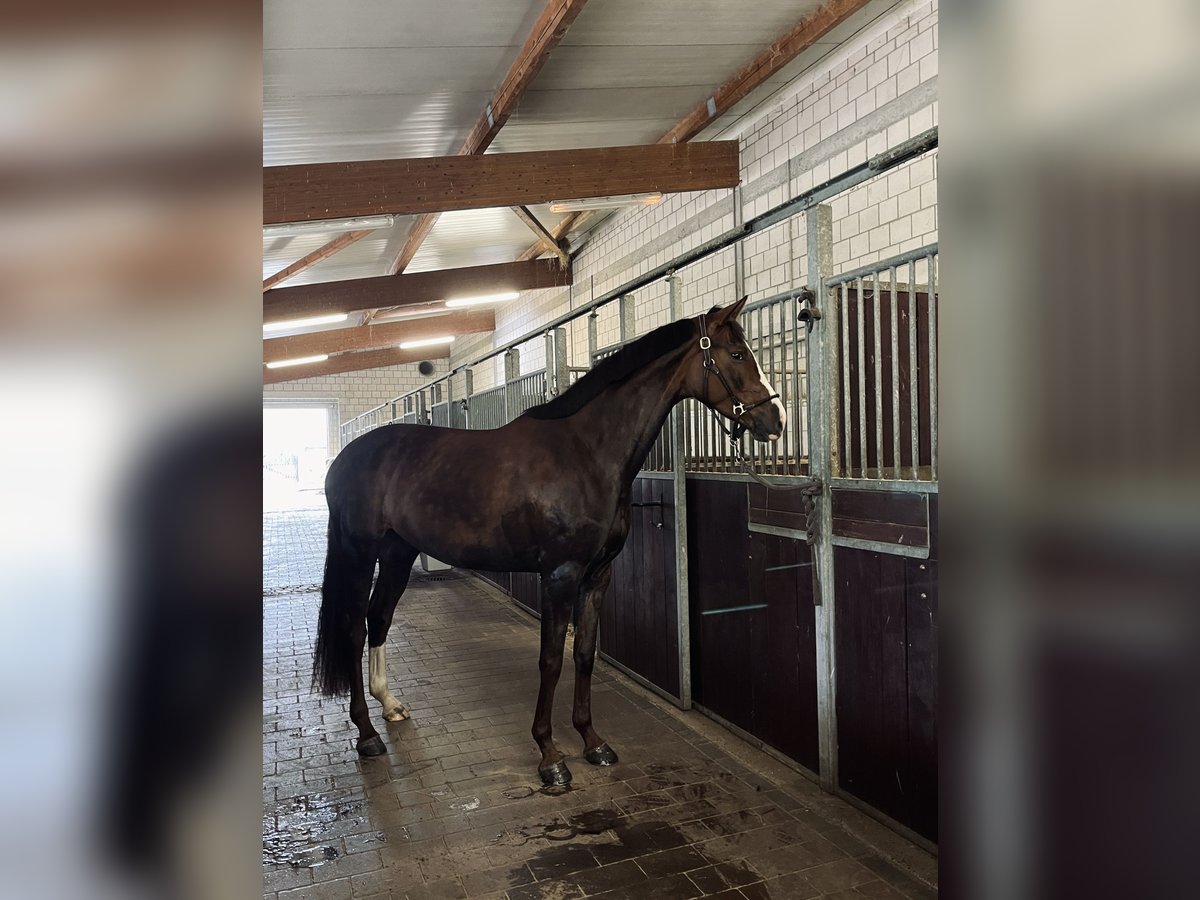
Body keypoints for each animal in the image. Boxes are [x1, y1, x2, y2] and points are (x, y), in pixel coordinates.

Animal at [316, 300, 787, 787]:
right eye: (737, 354)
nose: (777, 421)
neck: (586, 453)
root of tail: (347, 456)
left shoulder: (598, 576)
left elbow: (583, 654)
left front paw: (592, 741)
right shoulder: (559, 576)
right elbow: (551, 660)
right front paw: (550, 756)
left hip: (398, 552)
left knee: (379, 617)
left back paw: (390, 706)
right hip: (359, 552)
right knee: (353, 628)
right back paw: (367, 734)